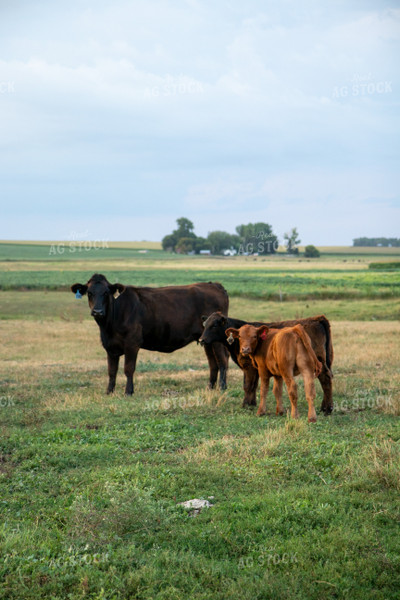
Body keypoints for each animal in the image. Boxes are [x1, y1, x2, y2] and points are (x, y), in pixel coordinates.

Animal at [71, 274, 228, 396]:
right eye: (89, 293)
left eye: (106, 293)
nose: (97, 311)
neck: (109, 326)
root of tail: (214, 285)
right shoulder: (110, 346)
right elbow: (111, 371)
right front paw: (109, 392)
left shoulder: (132, 343)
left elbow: (128, 369)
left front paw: (128, 392)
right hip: (207, 340)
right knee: (212, 363)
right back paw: (210, 387)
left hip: (217, 340)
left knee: (222, 361)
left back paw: (222, 387)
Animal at [200, 312, 334, 414]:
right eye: (205, 325)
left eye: (214, 325)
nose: (201, 340)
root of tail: (316, 319)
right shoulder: (254, 368)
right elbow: (253, 385)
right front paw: (251, 403)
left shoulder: (249, 367)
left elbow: (247, 385)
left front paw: (245, 404)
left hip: (317, 362)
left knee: (325, 379)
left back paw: (327, 409)